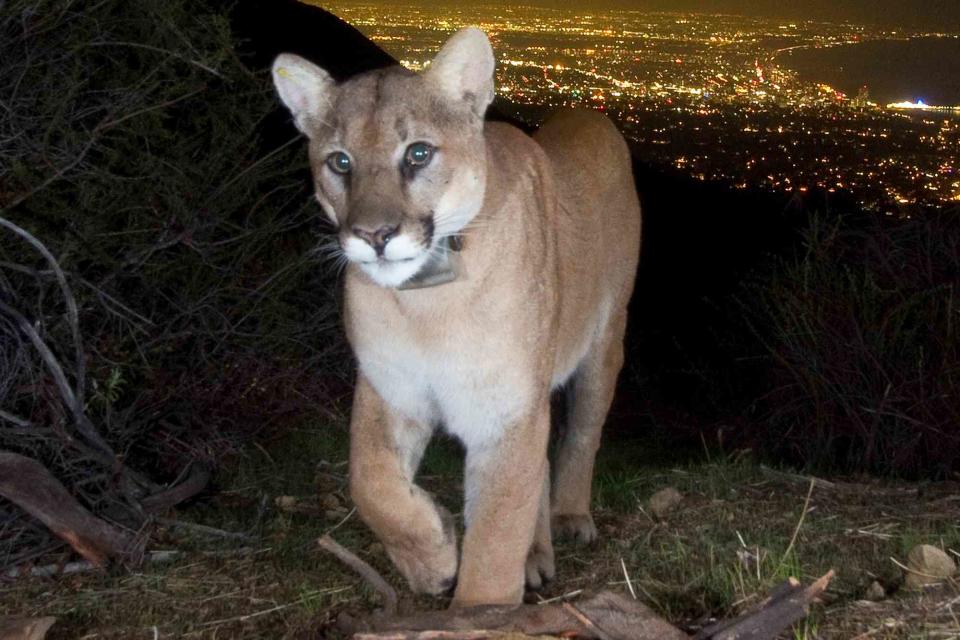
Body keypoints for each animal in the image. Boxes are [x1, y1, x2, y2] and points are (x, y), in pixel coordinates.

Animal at [274, 26, 640, 604]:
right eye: (340, 162)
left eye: (418, 153)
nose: (374, 235)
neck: (427, 303)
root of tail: (588, 113)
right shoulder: (390, 386)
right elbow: (368, 480)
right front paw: (433, 556)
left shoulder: (505, 408)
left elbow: (495, 537)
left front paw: (479, 607)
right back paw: (534, 554)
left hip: (606, 341)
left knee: (582, 433)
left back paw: (568, 518)